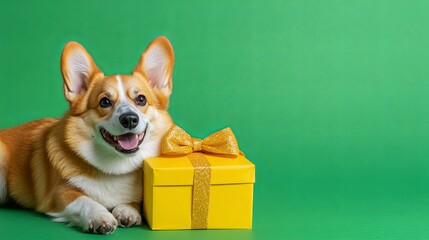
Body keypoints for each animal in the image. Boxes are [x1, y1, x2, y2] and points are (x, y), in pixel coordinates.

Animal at [0, 37, 174, 234]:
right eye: (104, 102)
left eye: (141, 99)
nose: (129, 119)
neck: (115, 167)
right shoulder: (59, 193)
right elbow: (85, 200)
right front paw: (100, 217)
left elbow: (133, 201)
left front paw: (127, 210)